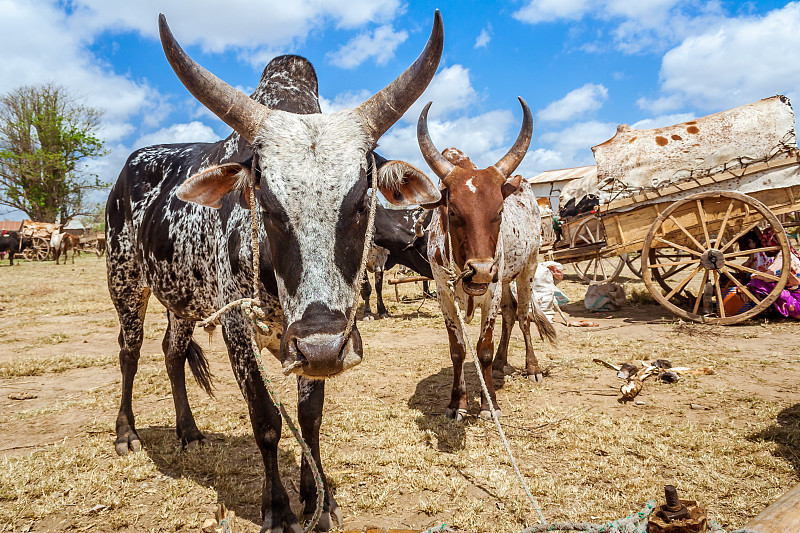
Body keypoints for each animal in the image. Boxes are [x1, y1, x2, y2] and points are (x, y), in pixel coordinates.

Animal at [418, 96, 556, 420]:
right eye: (453, 211)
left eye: (499, 210)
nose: (480, 270)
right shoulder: (444, 294)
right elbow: (458, 350)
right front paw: (457, 404)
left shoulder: (490, 292)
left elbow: (484, 349)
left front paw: (489, 404)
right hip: (503, 276)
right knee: (510, 311)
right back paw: (502, 364)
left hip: (526, 268)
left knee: (522, 315)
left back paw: (531, 367)